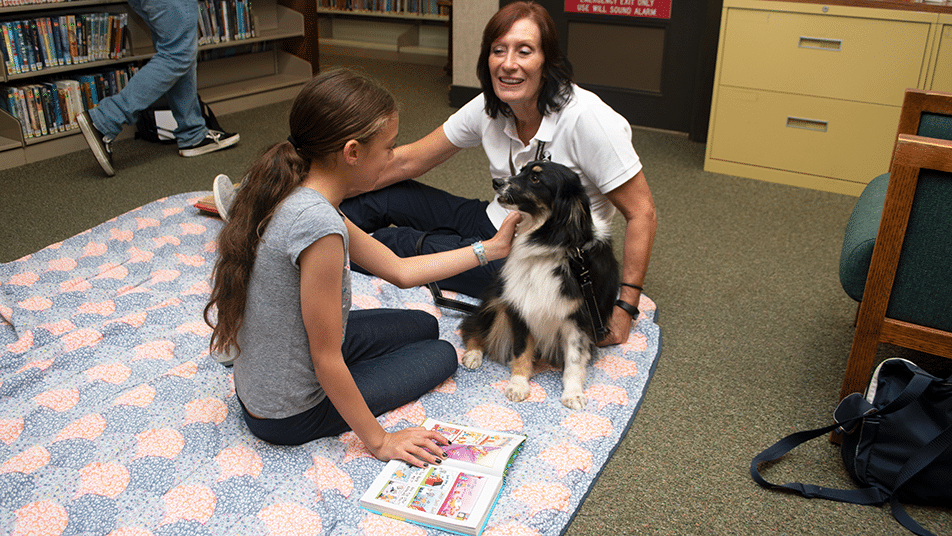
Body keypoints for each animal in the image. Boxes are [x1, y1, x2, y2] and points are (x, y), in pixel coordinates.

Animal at [460, 161, 616, 408]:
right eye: (522, 170)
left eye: (535, 179)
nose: (496, 182)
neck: (550, 242)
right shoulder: (519, 304)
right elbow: (521, 350)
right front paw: (518, 384)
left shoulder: (580, 318)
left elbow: (574, 359)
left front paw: (573, 393)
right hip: (497, 299)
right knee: (473, 325)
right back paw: (473, 354)